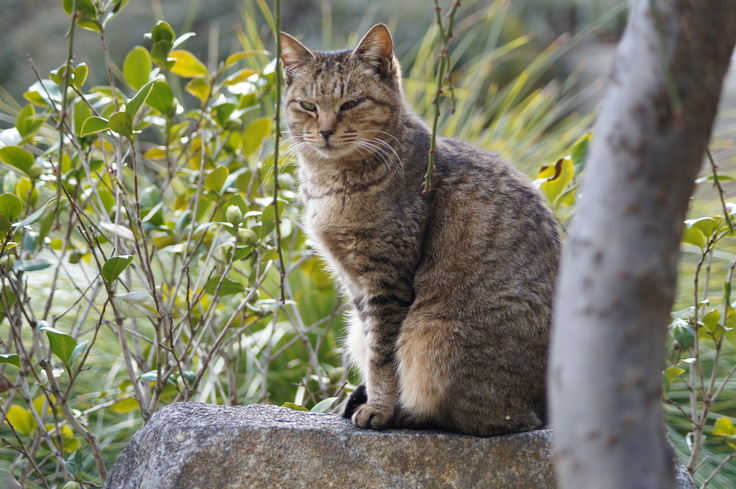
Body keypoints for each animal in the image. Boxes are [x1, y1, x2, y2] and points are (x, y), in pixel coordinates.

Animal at [280, 23, 556, 434]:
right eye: (308, 106)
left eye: (351, 104)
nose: (325, 131)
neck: (332, 184)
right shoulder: (356, 284)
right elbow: (372, 347)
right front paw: (370, 401)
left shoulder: (388, 282)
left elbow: (383, 356)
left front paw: (380, 408)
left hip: (431, 334)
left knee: (491, 419)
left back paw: (407, 413)